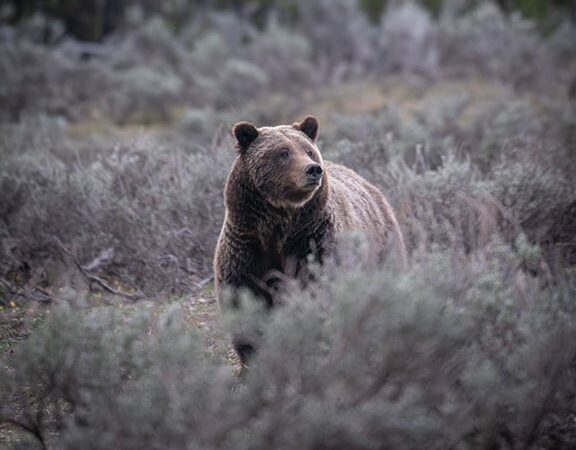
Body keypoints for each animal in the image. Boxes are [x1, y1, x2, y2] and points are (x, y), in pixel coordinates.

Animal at [214, 116, 408, 366]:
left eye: (308, 150)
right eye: (283, 152)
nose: (314, 169)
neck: (278, 224)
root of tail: (371, 186)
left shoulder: (313, 241)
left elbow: (319, 289)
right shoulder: (246, 247)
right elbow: (244, 302)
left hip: (383, 250)